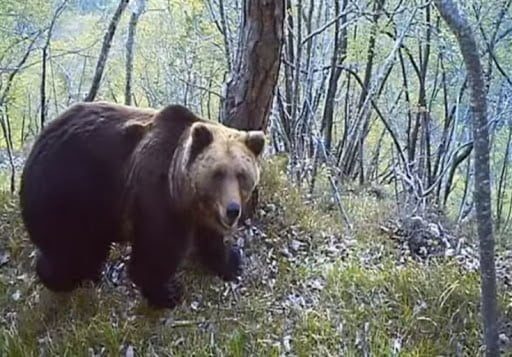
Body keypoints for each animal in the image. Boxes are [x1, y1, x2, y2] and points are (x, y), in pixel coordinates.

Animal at [19, 101, 264, 308]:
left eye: (241, 174)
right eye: (218, 173)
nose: (232, 210)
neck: (180, 190)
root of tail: (36, 146)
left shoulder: (199, 211)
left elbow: (210, 239)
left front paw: (230, 262)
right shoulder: (157, 196)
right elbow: (155, 251)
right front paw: (167, 293)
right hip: (69, 195)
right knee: (69, 249)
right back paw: (66, 277)